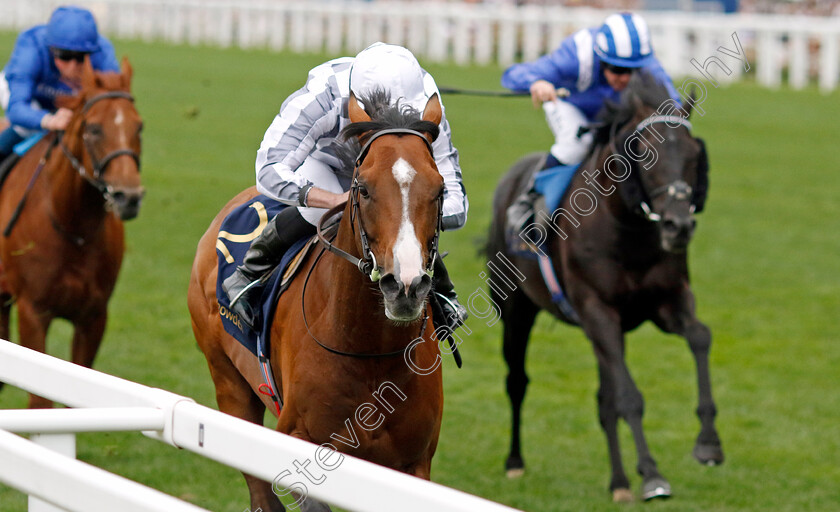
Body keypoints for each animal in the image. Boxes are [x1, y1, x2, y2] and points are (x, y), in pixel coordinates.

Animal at [0, 57, 144, 408]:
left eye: (139, 127)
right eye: (93, 128)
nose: (129, 196)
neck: (72, 226)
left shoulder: (93, 317)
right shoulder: (33, 312)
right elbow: (40, 403)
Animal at [190, 92, 450, 512]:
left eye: (440, 190)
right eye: (363, 189)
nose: (405, 286)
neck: (370, 353)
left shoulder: (413, 465)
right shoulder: (299, 441)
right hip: (229, 383)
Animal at [488, 74, 724, 502]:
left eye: (693, 153)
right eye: (644, 153)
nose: (678, 227)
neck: (626, 230)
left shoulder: (665, 302)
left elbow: (699, 336)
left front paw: (709, 442)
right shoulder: (598, 311)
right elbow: (629, 398)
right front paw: (652, 474)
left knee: (604, 401)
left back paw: (619, 483)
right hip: (517, 309)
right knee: (517, 381)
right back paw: (515, 462)